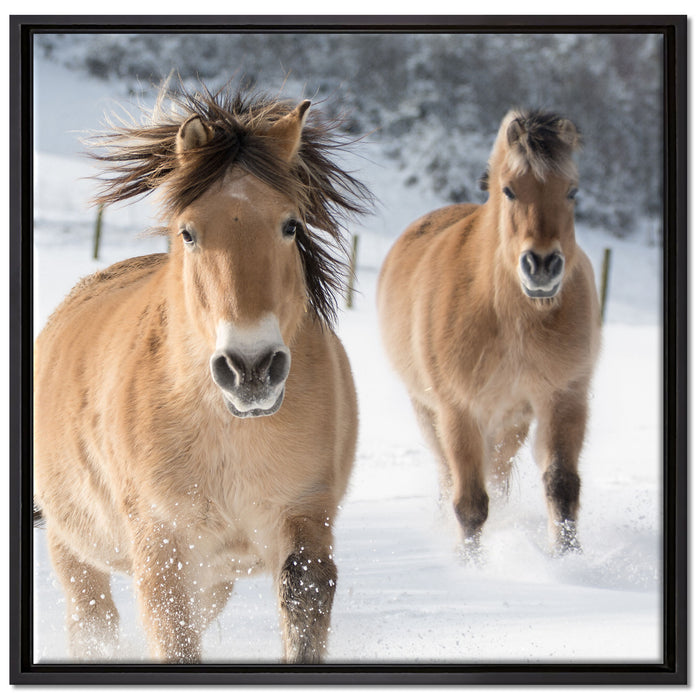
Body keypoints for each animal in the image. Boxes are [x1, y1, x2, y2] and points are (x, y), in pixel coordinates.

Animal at [33, 81, 371, 663]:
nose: (251, 368)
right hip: (74, 545)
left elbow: (302, 610)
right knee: (93, 621)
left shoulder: (303, 518)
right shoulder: (162, 547)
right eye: (188, 232)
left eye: (290, 224)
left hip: (215, 577)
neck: (227, 431)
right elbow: (172, 639)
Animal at [377, 109, 600, 558]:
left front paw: (569, 559)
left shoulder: (564, 397)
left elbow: (562, 485)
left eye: (572, 191)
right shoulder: (459, 410)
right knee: (450, 477)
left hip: (511, 420)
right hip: (428, 411)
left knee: (498, 474)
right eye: (509, 190)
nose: (542, 266)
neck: (511, 318)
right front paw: (470, 564)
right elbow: (470, 502)